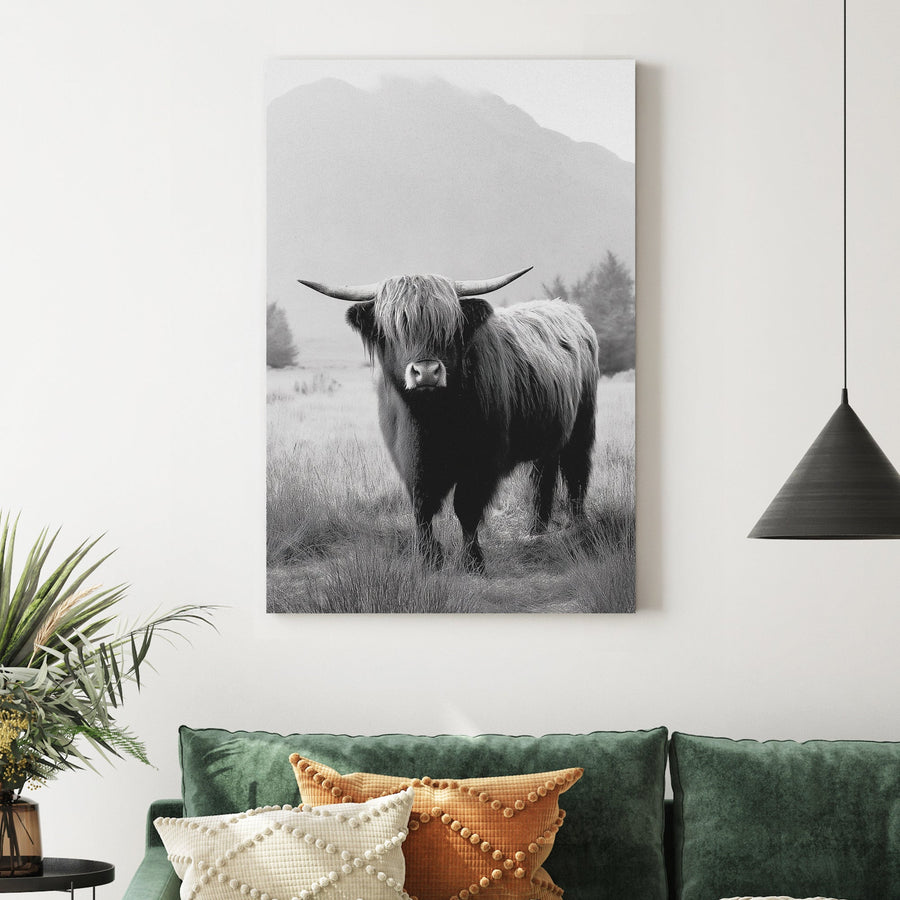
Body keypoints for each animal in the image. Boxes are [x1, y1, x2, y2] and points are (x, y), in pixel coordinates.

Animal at [299, 268, 600, 574]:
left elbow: (466, 508)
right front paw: (428, 558)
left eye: (447, 327)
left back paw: (578, 529)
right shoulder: (409, 460)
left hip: (582, 425)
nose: (426, 372)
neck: (432, 419)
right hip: (548, 433)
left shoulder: (481, 461)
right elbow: (421, 506)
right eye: (396, 329)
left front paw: (472, 561)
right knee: (543, 476)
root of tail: (569, 310)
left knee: (576, 472)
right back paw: (536, 530)